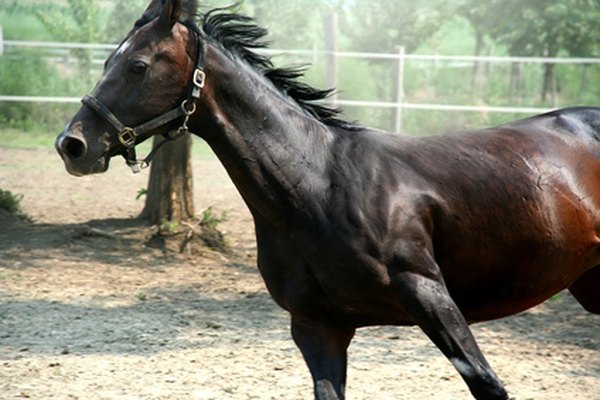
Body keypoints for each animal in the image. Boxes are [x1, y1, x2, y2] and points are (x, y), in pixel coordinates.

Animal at [54, 1, 596, 398]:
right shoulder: (318, 327)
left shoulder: (432, 297)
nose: (72, 145)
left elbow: (489, 385)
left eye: (138, 65)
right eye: (108, 60)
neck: (318, 188)